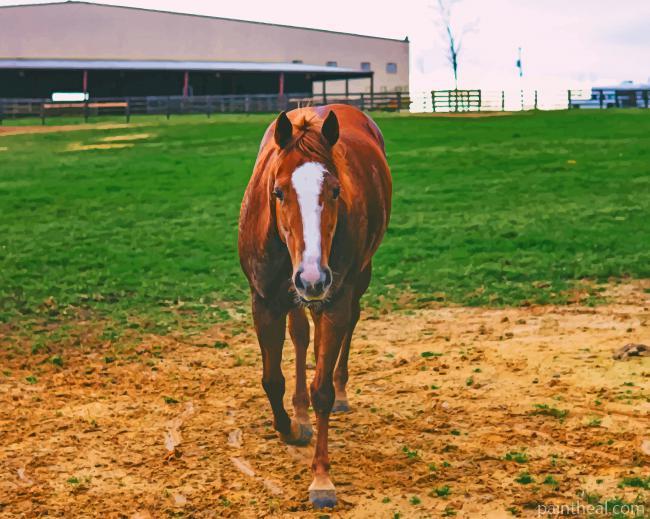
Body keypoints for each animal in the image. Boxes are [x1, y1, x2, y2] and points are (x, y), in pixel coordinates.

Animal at [238, 103, 392, 508]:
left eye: (336, 191)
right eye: (277, 191)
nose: (312, 277)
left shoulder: (334, 299)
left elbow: (322, 388)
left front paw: (321, 477)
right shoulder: (264, 302)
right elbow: (272, 379)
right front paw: (291, 428)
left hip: (355, 279)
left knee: (347, 326)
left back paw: (340, 392)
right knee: (301, 336)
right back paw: (300, 412)